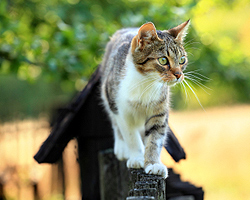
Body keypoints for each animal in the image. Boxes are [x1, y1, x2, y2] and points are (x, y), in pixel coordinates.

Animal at [99, 19, 189, 177]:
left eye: (182, 60)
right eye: (163, 60)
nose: (179, 74)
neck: (146, 83)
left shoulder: (159, 111)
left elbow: (155, 138)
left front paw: (153, 164)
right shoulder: (121, 110)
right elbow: (130, 135)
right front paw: (137, 158)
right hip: (108, 93)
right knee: (115, 122)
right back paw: (122, 148)